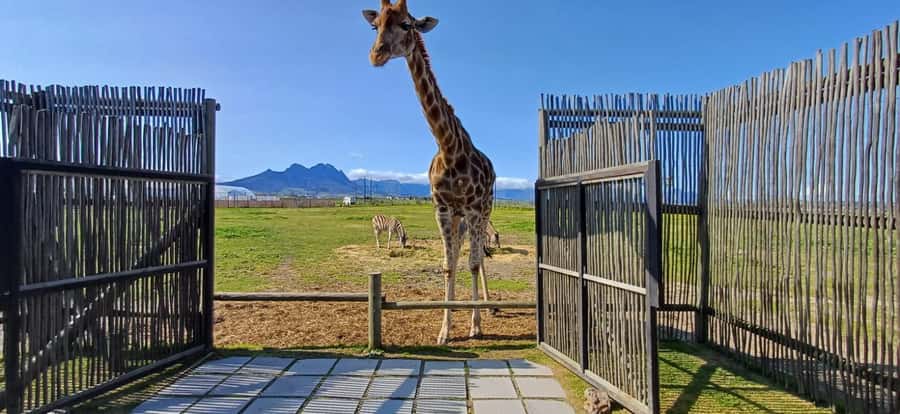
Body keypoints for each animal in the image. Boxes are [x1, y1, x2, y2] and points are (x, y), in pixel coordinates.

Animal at [362, 0, 497, 344]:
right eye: (375, 25)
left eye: (407, 24)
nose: (376, 54)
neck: (449, 148)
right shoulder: (443, 208)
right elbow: (449, 266)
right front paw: (445, 330)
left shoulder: (473, 208)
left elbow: (473, 263)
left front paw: (474, 326)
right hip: (460, 217)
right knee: (462, 254)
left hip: (484, 210)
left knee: (478, 258)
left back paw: (485, 310)